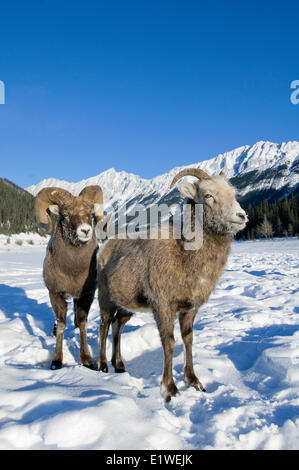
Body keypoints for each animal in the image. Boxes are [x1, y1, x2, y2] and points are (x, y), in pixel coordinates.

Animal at [35, 185, 104, 370]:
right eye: (65, 214)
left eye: (90, 213)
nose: (85, 230)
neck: (73, 272)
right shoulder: (56, 294)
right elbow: (61, 325)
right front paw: (56, 361)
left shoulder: (86, 295)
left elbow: (82, 323)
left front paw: (87, 361)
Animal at [97, 169, 247, 400]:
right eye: (208, 195)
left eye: (233, 192)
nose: (241, 216)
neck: (184, 257)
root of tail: (104, 246)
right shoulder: (163, 307)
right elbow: (169, 343)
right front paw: (170, 389)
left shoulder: (189, 309)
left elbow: (188, 339)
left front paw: (194, 381)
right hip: (105, 298)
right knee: (104, 326)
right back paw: (103, 365)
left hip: (126, 307)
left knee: (117, 326)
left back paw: (119, 365)